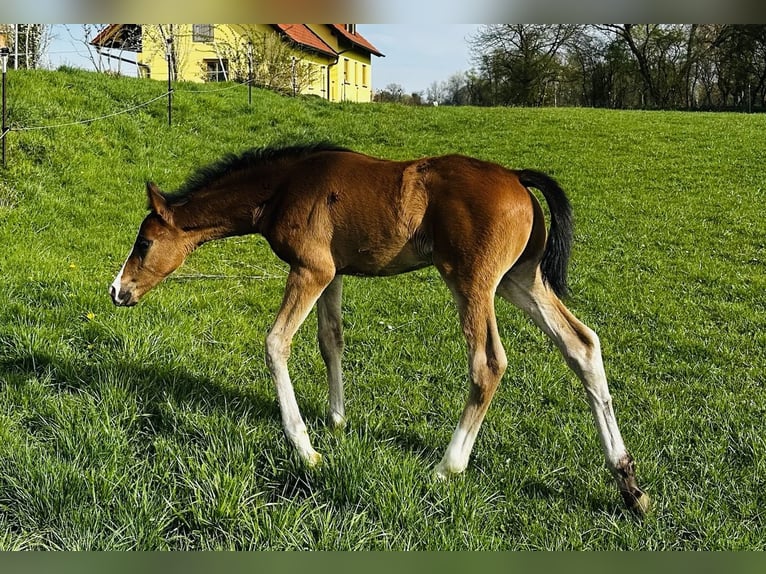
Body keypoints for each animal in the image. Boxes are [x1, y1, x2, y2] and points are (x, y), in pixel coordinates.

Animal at [109, 143, 650, 515]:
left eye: (143, 243)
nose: (118, 291)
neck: (284, 188)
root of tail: (518, 178)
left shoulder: (310, 269)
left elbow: (276, 343)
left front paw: (306, 449)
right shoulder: (332, 273)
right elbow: (331, 340)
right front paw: (337, 420)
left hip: (473, 281)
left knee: (488, 363)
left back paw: (446, 468)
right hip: (522, 279)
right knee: (582, 344)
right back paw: (628, 483)